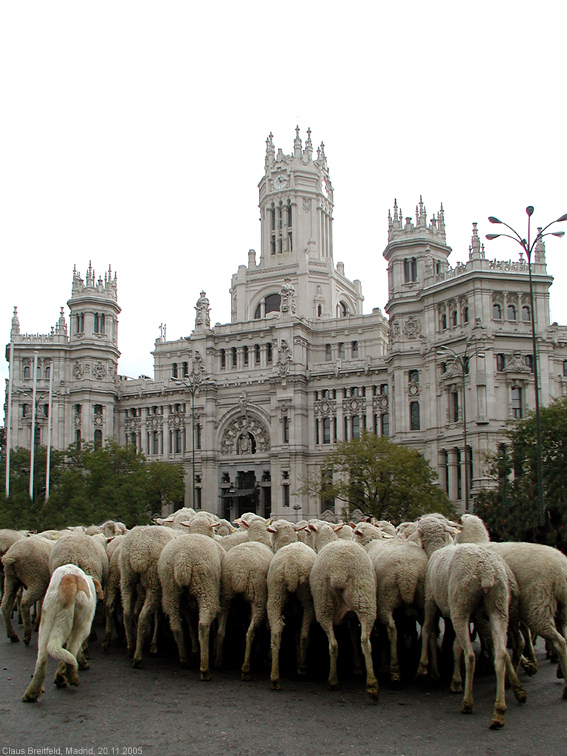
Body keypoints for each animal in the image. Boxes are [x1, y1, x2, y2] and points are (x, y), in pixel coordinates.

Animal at [21, 560, 103, 704]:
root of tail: (70, 579)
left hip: (47, 618)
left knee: (43, 658)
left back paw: (32, 693)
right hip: (81, 624)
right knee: (71, 650)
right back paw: (69, 677)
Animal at [118, 524, 175, 668]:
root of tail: (138, 550)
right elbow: (158, 617)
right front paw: (154, 644)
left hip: (126, 578)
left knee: (127, 612)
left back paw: (131, 647)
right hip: (153, 582)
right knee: (143, 617)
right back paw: (138, 657)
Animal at [268, 544, 318, 692]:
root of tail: (291, 567)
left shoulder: (295, 613)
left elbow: (295, 635)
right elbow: (298, 635)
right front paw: (298, 661)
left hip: (275, 594)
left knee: (276, 632)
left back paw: (275, 677)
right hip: (307, 600)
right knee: (305, 634)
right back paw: (302, 667)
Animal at [308, 524, 380, 700]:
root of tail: (339, 571)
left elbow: (352, 637)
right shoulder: (352, 617)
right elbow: (354, 636)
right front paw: (357, 665)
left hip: (324, 605)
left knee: (334, 644)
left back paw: (334, 680)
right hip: (364, 602)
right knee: (364, 641)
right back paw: (372, 684)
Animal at [412, 512, 528, 728]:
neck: (437, 550)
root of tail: (487, 572)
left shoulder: (431, 601)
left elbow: (428, 629)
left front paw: (425, 668)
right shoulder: (469, 616)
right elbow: (456, 645)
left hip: (462, 605)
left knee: (471, 655)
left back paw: (468, 702)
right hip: (498, 608)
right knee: (502, 653)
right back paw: (502, 706)